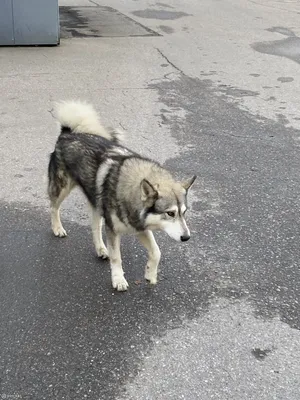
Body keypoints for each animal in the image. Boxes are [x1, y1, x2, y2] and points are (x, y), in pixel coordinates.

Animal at [48, 101, 196, 290]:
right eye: (170, 213)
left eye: (184, 213)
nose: (186, 237)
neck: (130, 190)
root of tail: (67, 133)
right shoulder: (113, 230)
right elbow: (117, 257)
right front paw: (118, 279)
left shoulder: (140, 226)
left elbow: (156, 252)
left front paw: (150, 273)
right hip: (62, 188)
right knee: (54, 207)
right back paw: (57, 228)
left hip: (96, 202)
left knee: (95, 226)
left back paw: (100, 249)